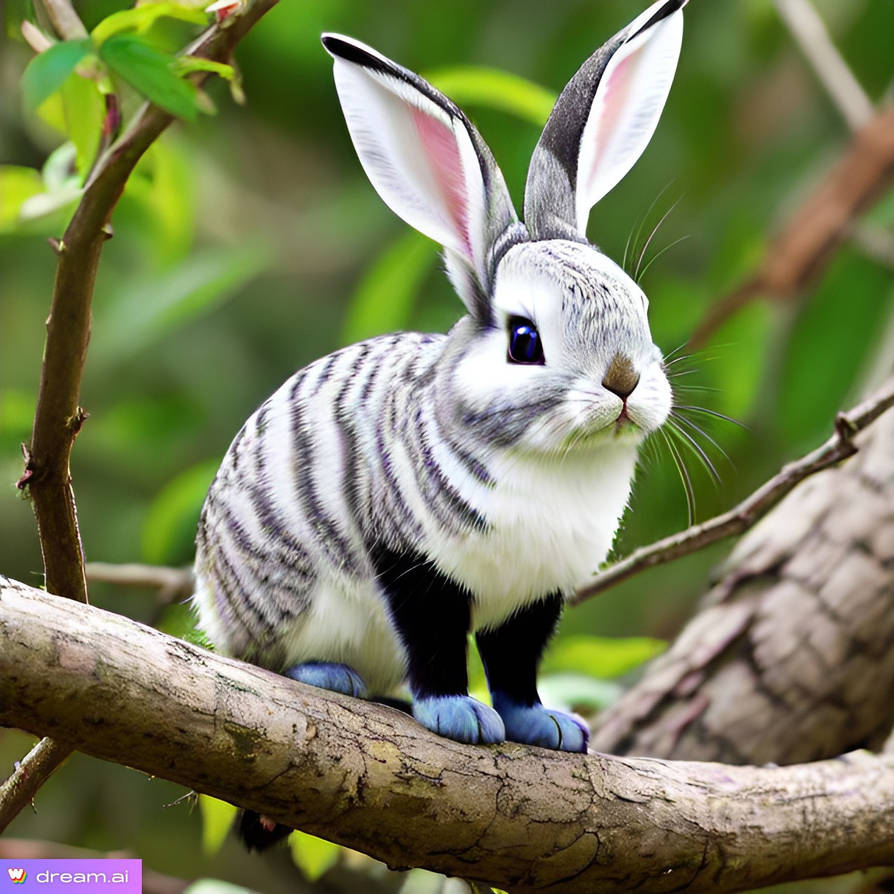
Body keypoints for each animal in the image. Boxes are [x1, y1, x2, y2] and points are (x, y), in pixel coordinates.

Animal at [193, 0, 684, 769]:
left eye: (640, 309)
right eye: (524, 340)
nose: (625, 382)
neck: (554, 465)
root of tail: (213, 602)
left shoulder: (538, 594)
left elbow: (515, 665)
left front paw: (542, 724)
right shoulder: (411, 563)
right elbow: (435, 644)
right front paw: (455, 712)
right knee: (271, 658)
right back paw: (329, 675)